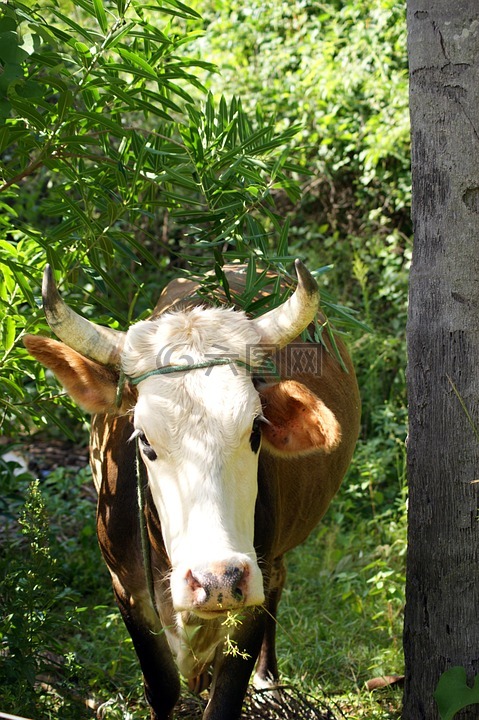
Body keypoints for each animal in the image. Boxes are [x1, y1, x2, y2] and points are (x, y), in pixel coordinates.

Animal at [22, 260, 360, 720]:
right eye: (145, 440)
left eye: (256, 430)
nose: (215, 579)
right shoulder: (127, 591)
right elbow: (162, 688)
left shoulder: (251, 596)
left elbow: (225, 696)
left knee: (277, 587)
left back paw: (269, 683)